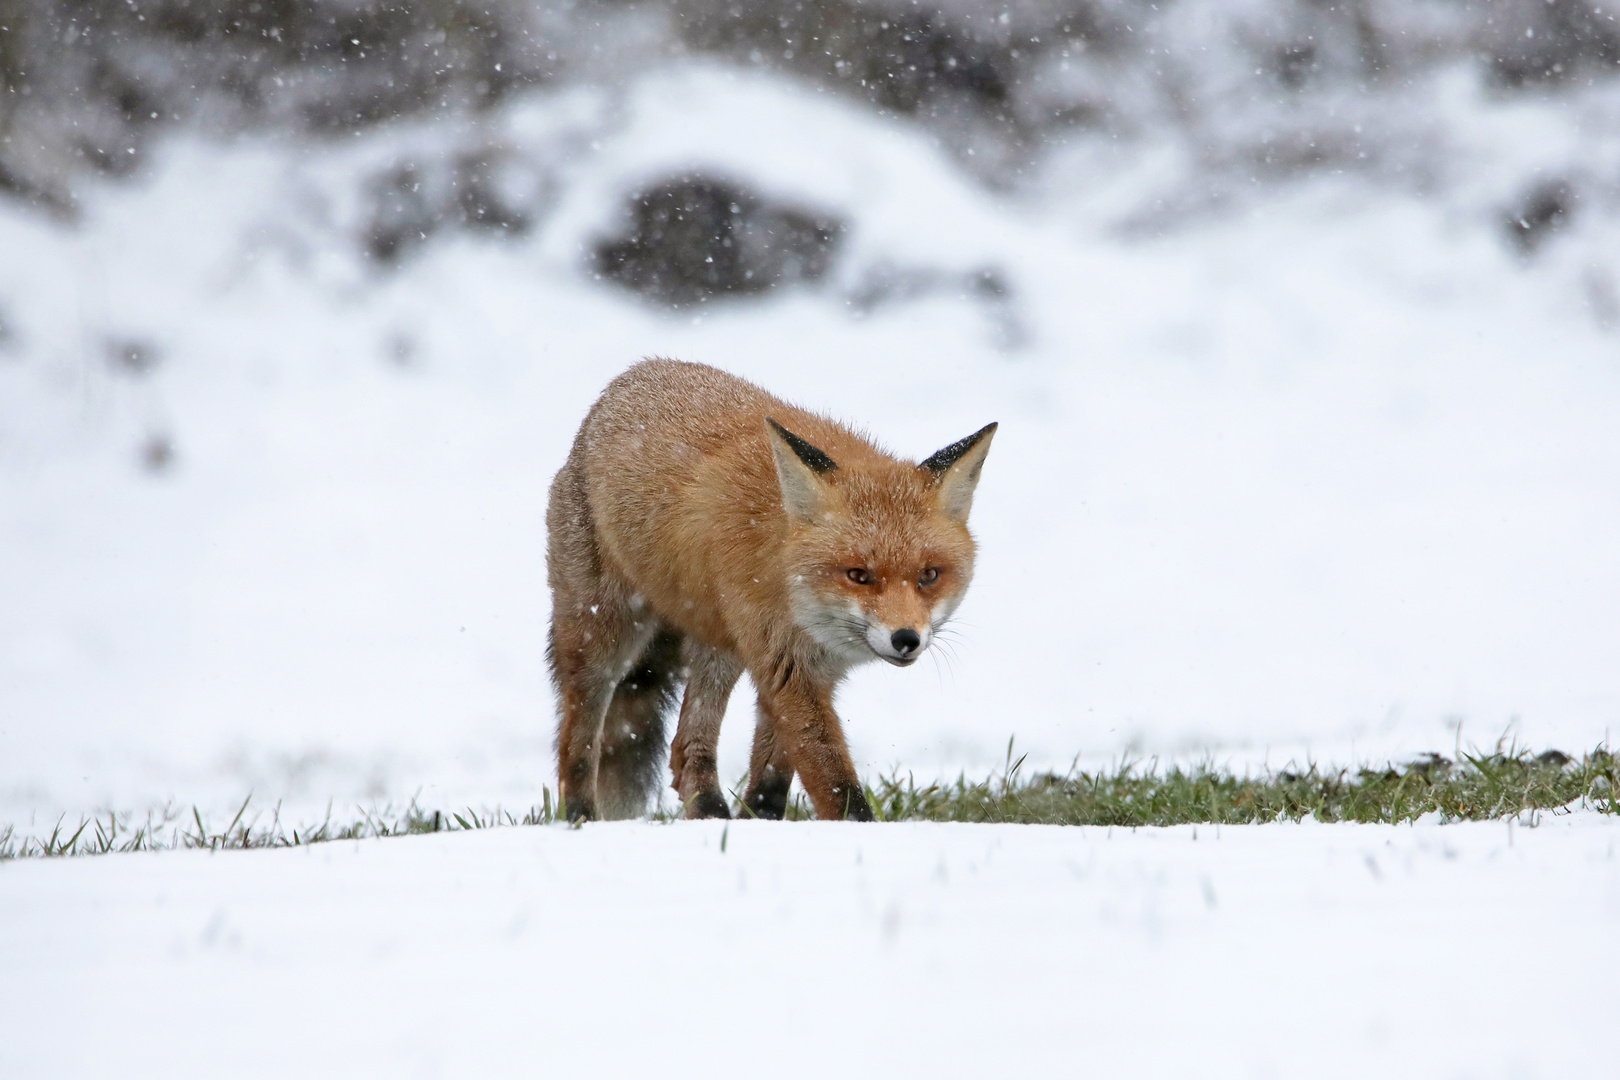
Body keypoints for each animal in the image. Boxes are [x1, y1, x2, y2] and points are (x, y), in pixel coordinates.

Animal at [550, 359, 991, 822]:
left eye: (929, 575)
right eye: (858, 575)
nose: (906, 639)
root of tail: (627, 378)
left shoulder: (807, 667)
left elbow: (773, 778)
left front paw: (759, 825)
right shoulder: (786, 666)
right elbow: (837, 786)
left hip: (720, 647)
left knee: (686, 748)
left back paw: (711, 814)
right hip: (604, 637)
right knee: (577, 740)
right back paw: (581, 816)